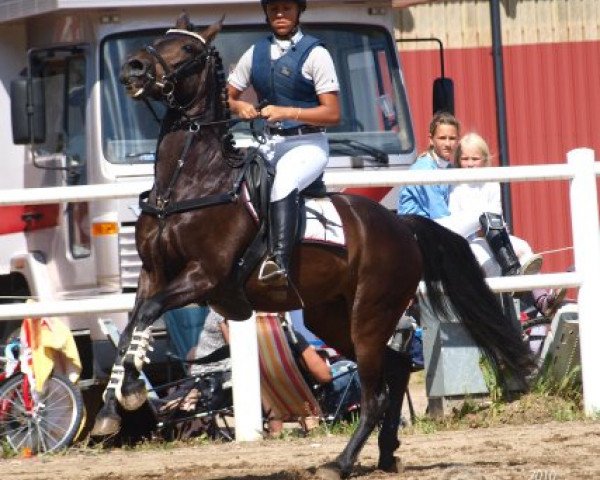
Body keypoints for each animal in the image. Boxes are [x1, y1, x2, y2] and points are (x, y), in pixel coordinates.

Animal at [91, 13, 532, 478]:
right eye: (161, 39)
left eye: (188, 50)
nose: (134, 67)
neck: (189, 181)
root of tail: (401, 224)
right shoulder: (152, 274)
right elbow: (131, 327)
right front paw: (111, 410)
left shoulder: (203, 276)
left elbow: (147, 316)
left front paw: (129, 393)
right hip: (331, 318)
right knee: (393, 372)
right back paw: (387, 451)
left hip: (369, 315)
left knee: (375, 393)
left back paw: (341, 461)